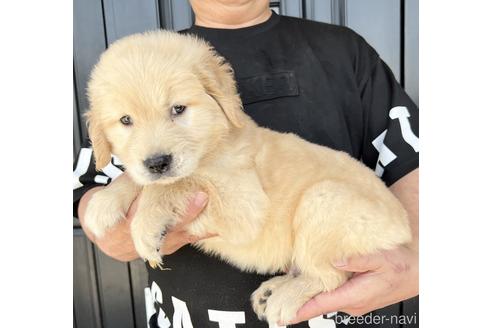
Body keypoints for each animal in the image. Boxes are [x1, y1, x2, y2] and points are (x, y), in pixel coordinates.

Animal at [84, 31, 412, 326]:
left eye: (178, 109)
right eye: (126, 120)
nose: (157, 163)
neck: (213, 144)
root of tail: (406, 229)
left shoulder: (245, 205)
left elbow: (180, 183)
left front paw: (147, 224)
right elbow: (140, 179)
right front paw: (104, 203)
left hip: (325, 200)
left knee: (332, 275)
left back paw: (285, 298)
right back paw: (272, 291)